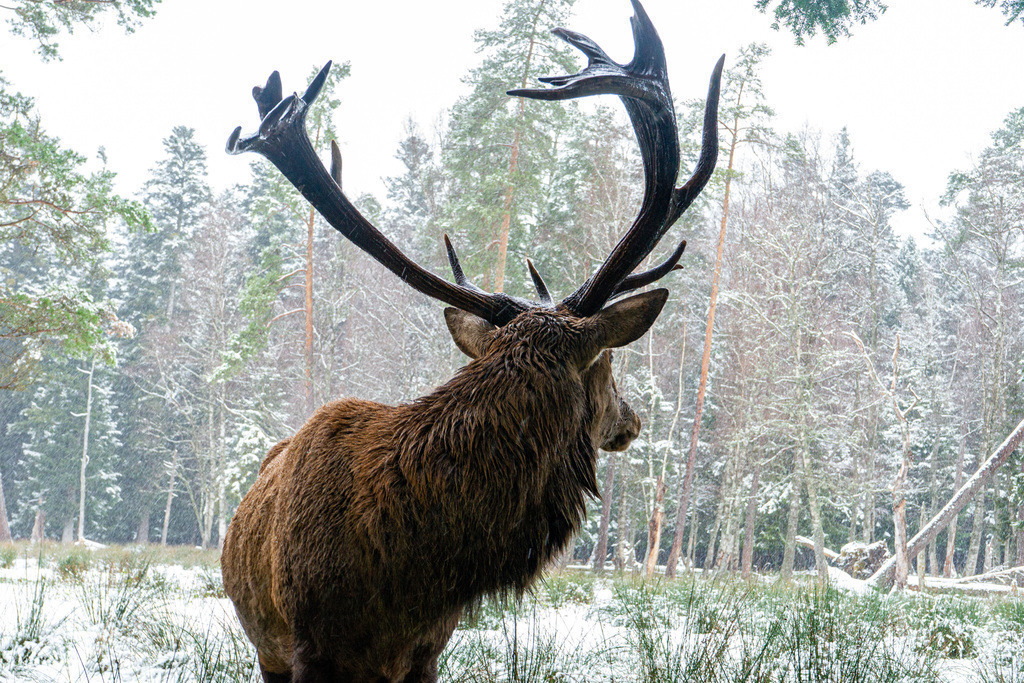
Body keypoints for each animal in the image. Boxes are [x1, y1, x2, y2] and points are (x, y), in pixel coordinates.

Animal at [221, 2, 722, 681]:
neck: (414, 568)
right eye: (607, 364)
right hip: (264, 646)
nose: (632, 420)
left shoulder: (428, 648)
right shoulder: (309, 648)